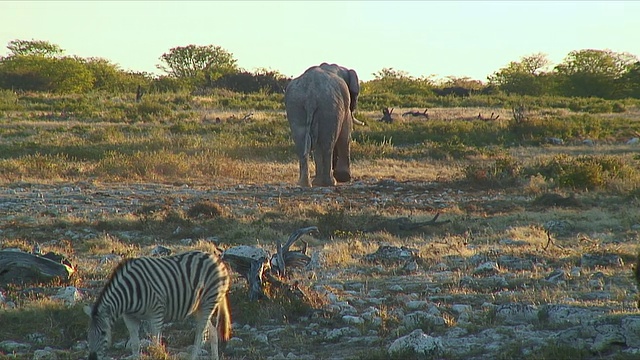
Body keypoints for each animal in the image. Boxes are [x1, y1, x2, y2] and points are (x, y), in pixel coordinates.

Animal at [84, 250, 231, 360]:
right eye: (88, 334)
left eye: (103, 333)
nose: (92, 358)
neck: (129, 293)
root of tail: (216, 258)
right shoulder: (130, 317)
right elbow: (135, 345)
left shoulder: (156, 314)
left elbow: (155, 344)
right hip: (198, 306)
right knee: (212, 331)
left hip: (209, 301)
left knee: (200, 333)